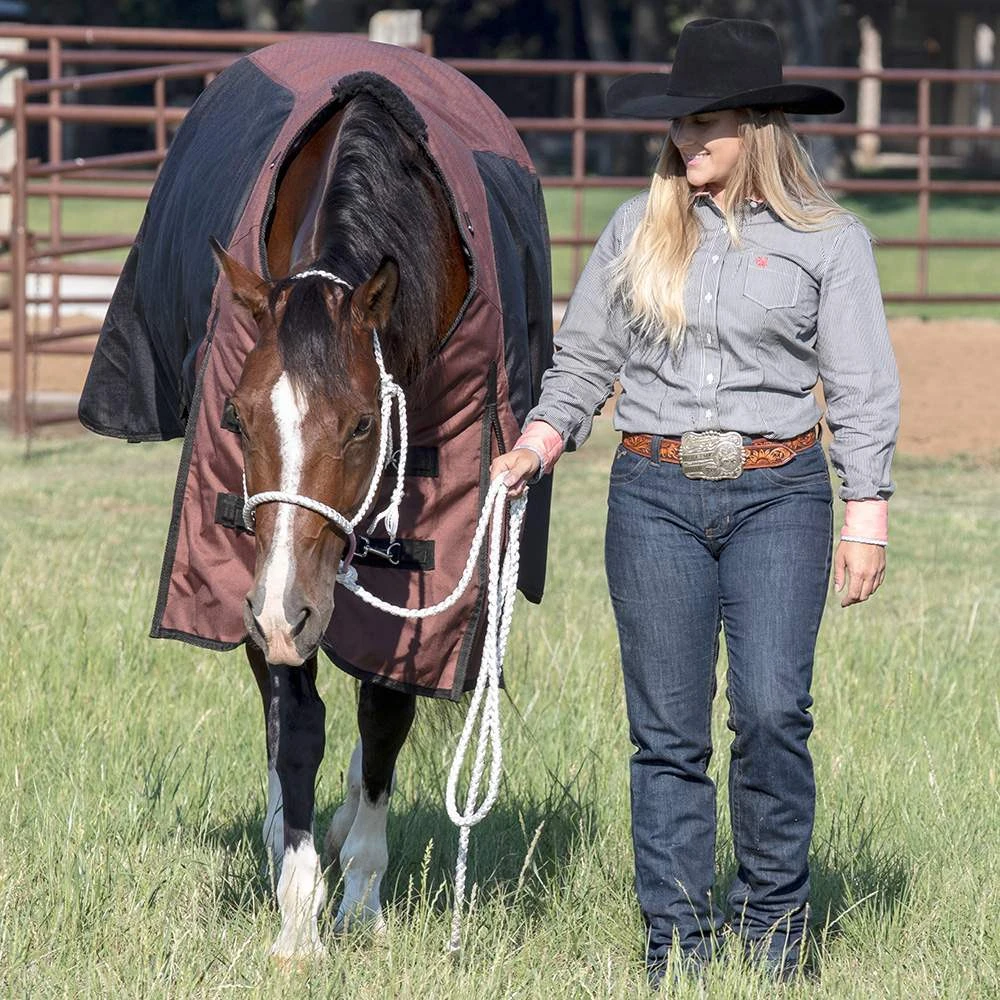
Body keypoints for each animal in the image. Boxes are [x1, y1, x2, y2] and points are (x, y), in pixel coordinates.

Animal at [212, 91, 470, 958]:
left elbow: (384, 714)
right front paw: (298, 917)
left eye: (363, 424)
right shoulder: (273, 595)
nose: (281, 611)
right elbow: (293, 723)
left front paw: (360, 897)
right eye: (236, 417)